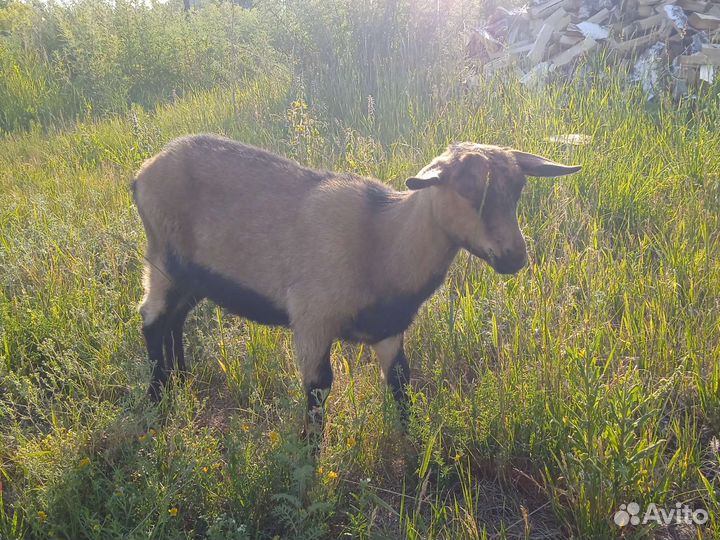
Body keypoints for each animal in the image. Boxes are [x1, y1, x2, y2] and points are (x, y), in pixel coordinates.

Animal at [132, 135, 580, 431]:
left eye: (518, 188)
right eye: (467, 188)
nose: (514, 257)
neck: (382, 239)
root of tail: (144, 173)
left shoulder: (389, 329)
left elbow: (400, 382)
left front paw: (414, 449)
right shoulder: (311, 320)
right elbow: (318, 392)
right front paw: (307, 470)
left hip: (195, 276)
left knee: (173, 319)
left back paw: (180, 380)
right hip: (163, 259)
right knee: (152, 318)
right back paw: (157, 400)